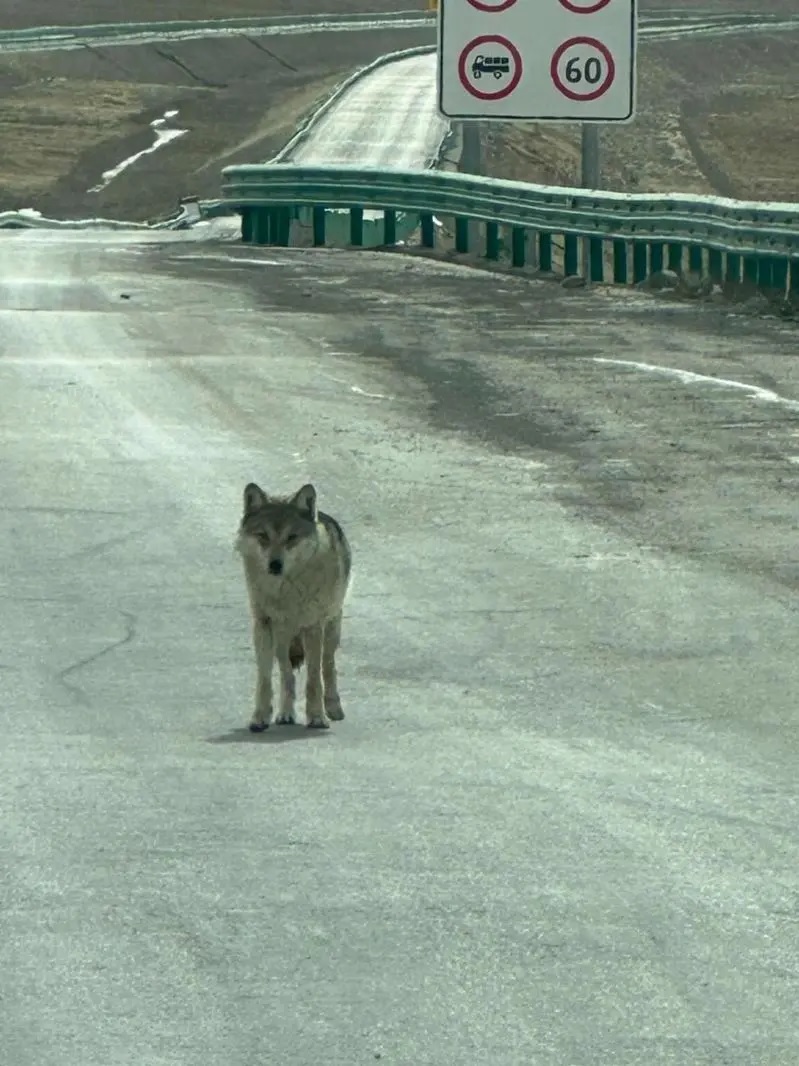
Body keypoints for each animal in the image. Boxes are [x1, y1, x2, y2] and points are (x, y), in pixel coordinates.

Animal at [234, 483, 353, 733]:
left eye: (291, 537)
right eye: (263, 536)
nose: (275, 565)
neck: (285, 591)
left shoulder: (313, 626)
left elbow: (314, 679)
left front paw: (317, 717)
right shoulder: (263, 624)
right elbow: (265, 678)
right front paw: (259, 718)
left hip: (331, 628)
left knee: (328, 667)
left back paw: (333, 708)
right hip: (282, 639)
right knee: (286, 674)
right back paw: (285, 714)